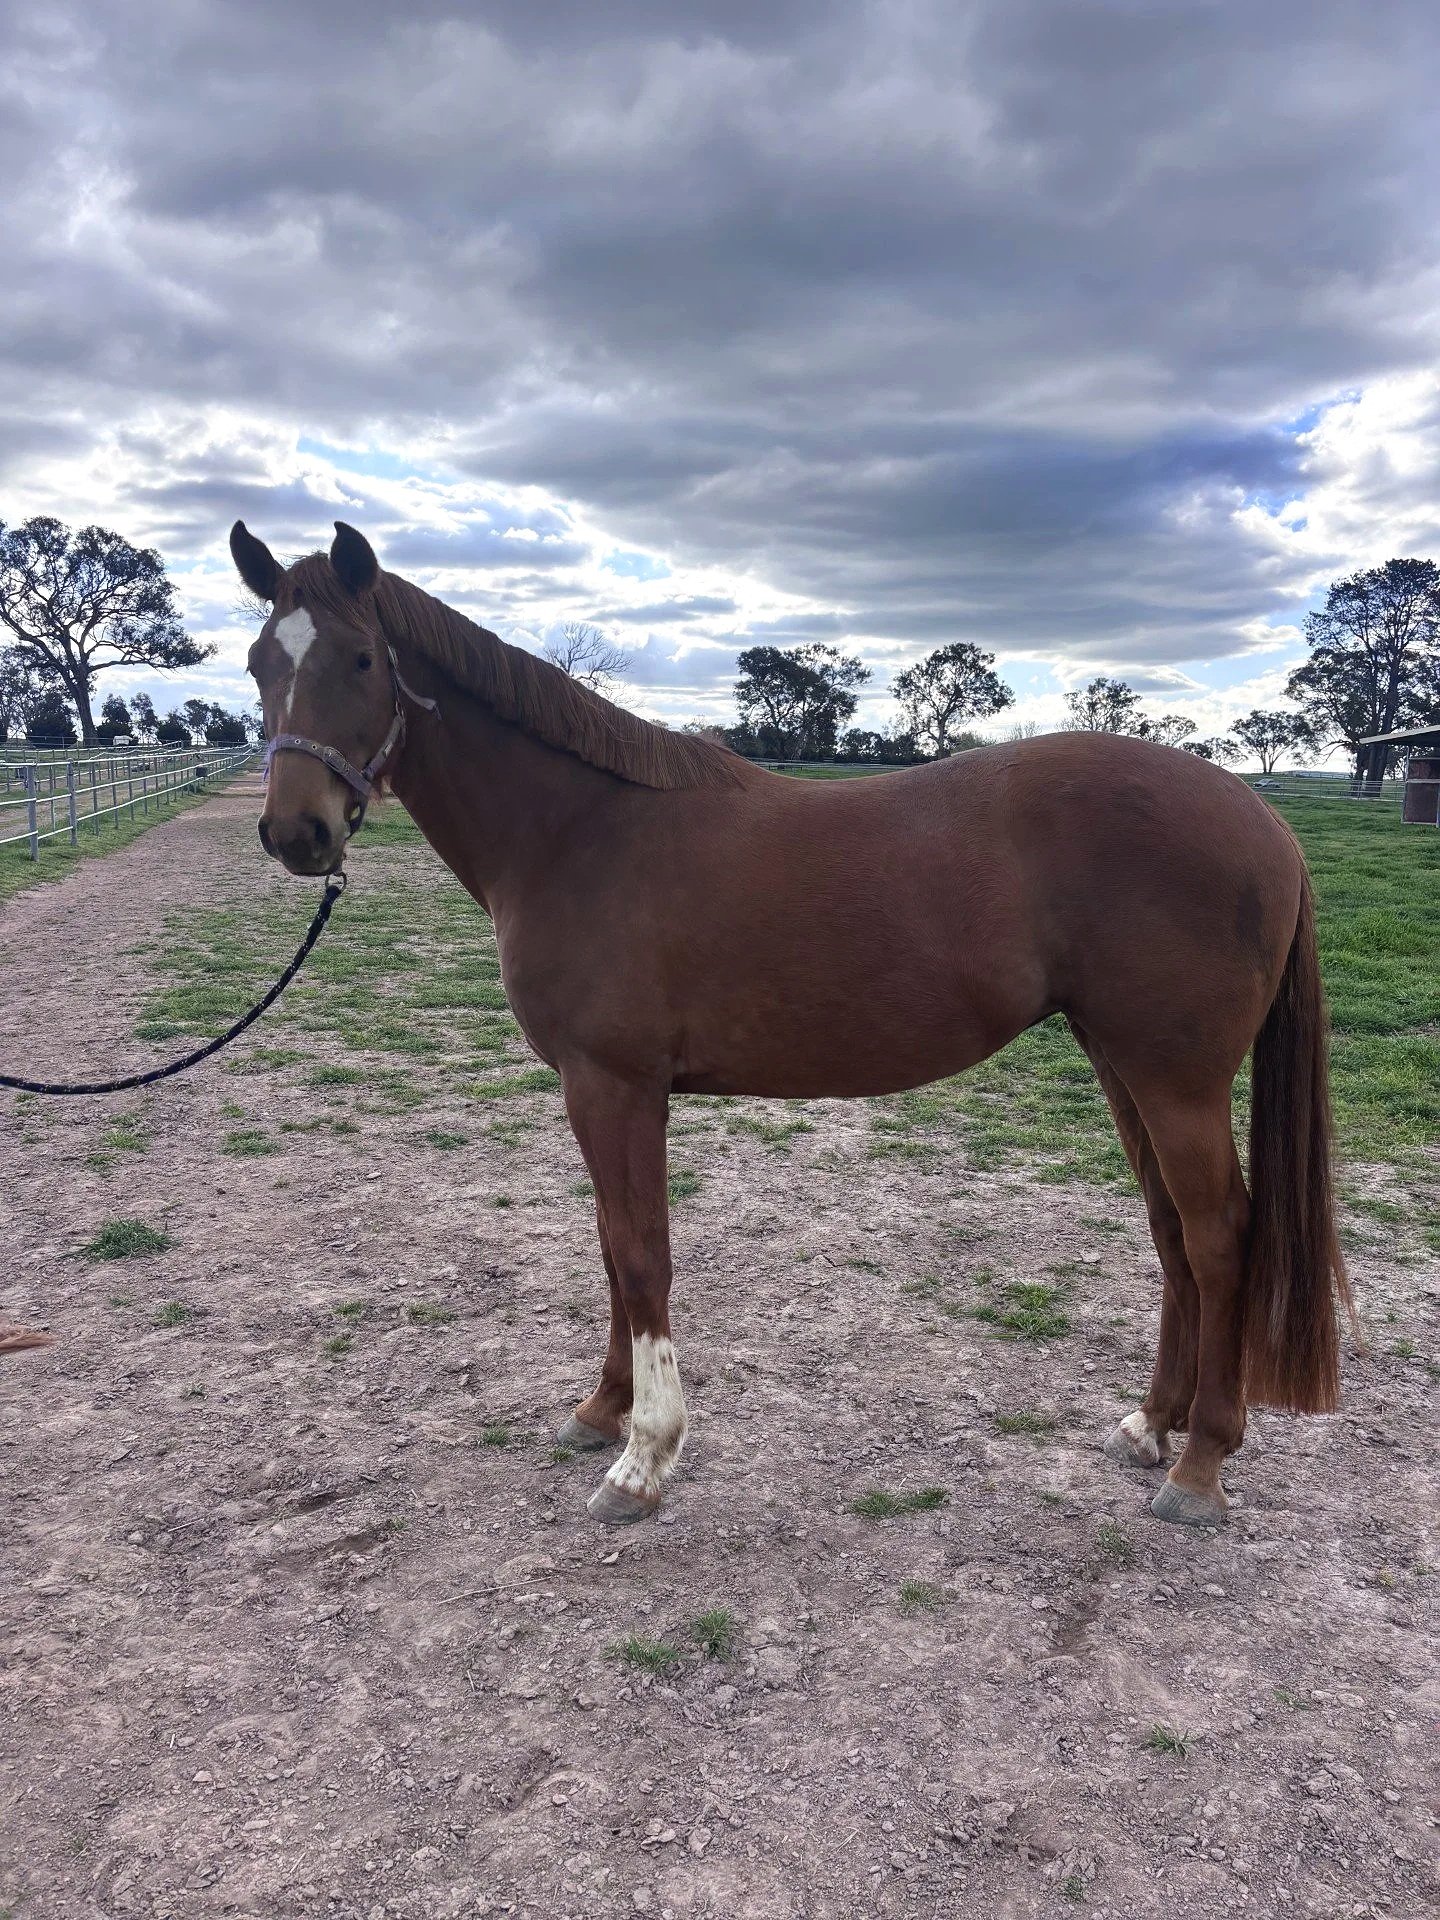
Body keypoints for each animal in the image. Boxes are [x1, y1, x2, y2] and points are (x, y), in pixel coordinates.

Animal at [231, 518, 1354, 1530]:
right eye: (258, 663)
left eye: (363, 658)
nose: (296, 833)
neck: (578, 831)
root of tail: (1264, 820)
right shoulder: (596, 1092)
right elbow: (609, 1243)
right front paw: (601, 1411)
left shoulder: (613, 1085)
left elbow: (639, 1253)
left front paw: (644, 1457)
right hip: (1123, 1064)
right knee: (1172, 1233)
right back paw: (1152, 1426)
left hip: (1176, 1078)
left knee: (1219, 1238)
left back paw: (1200, 1468)